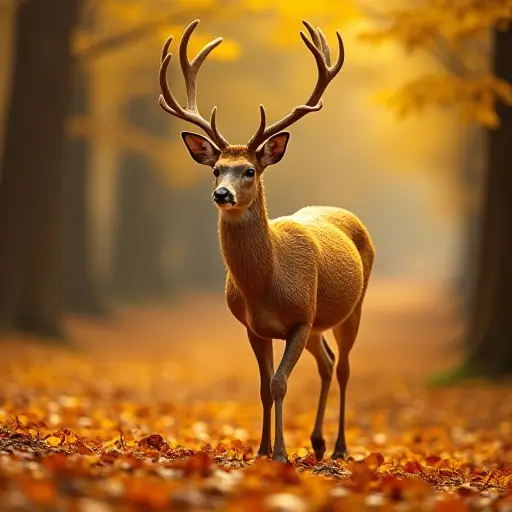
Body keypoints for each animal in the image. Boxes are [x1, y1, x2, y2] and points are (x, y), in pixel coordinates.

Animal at [159, 19, 376, 464]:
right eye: (216, 169)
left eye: (250, 170)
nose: (221, 194)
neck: (266, 284)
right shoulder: (255, 327)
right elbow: (262, 386)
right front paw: (260, 450)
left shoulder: (299, 318)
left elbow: (279, 384)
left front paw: (279, 454)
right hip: (317, 323)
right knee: (327, 363)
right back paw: (318, 443)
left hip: (353, 306)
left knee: (345, 367)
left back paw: (340, 447)